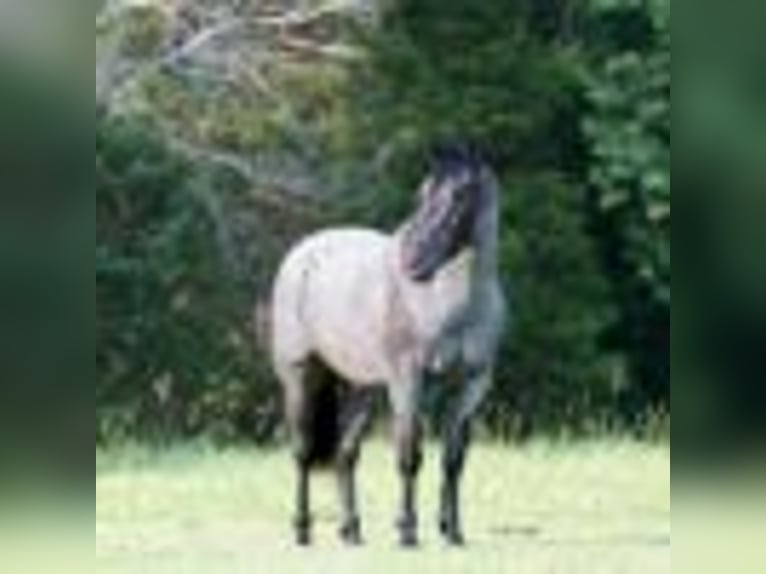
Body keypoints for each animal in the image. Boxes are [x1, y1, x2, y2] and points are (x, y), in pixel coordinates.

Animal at [270, 145, 506, 547]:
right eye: (423, 194)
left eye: (459, 196)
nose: (411, 261)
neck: (451, 303)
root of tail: (302, 253)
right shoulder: (409, 381)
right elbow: (410, 455)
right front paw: (407, 530)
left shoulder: (472, 386)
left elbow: (453, 460)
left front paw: (453, 531)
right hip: (301, 377)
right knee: (302, 452)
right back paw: (302, 529)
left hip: (364, 389)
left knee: (346, 453)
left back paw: (351, 530)